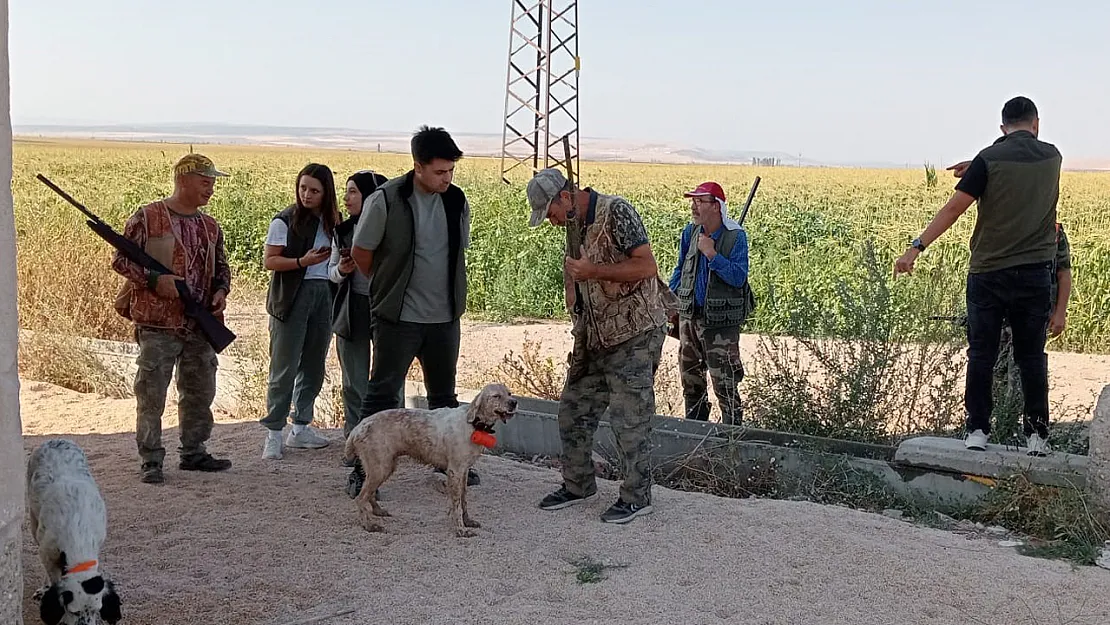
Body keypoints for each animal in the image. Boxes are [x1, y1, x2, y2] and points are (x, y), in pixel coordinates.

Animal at [27, 439, 122, 625]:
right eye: (74, 612)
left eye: (96, 611)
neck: (78, 535)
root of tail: (56, 439)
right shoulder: (47, 553)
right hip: (33, 521)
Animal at [344, 381, 517, 537]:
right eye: (496, 396)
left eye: (509, 393)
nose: (514, 402)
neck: (474, 424)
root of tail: (358, 428)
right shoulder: (455, 471)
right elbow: (456, 504)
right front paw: (460, 529)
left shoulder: (464, 471)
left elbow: (464, 500)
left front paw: (468, 521)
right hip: (381, 468)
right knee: (360, 499)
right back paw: (369, 525)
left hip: (384, 467)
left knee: (370, 495)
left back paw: (378, 511)